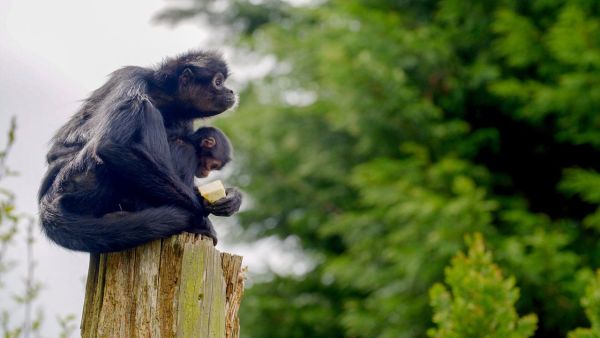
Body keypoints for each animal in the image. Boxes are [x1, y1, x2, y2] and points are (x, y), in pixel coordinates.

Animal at [38, 49, 241, 251]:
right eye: (218, 82)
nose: (230, 91)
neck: (163, 97)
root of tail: (47, 198)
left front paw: (233, 198)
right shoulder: (132, 78)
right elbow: (110, 145)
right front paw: (202, 211)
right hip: (83, 176)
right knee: (148, 111)